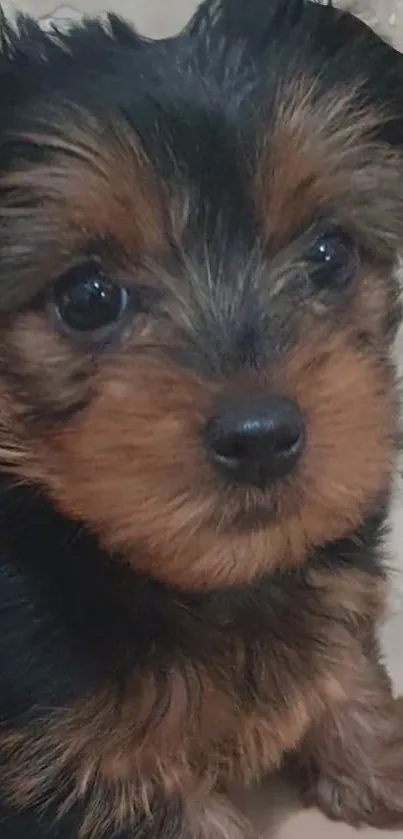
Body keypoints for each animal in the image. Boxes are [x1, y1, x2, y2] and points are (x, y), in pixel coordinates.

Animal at [0, 0, 403, 836]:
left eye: (328, 255)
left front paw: (379, 759)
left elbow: (344, 664)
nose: (260, 437)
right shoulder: (83, 772)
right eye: (87, 297)